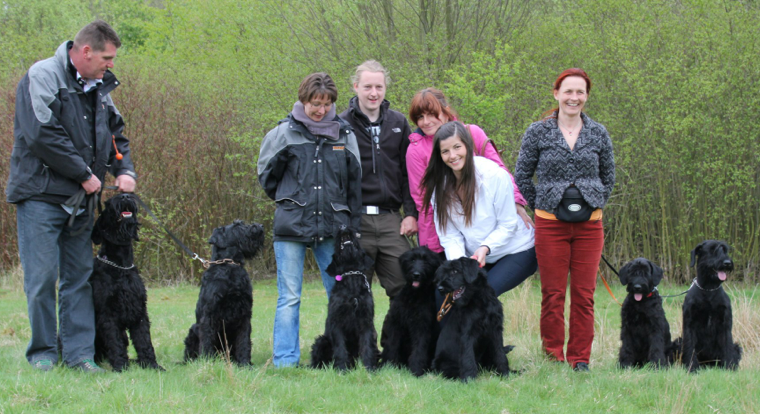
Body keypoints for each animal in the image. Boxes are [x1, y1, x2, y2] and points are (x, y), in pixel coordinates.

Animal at [91, 194, 164, 372]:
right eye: (108, 203)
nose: (125, 195)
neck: (121, 264)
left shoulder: (139, 309)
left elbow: (144, 340)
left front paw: (151, 364)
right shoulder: (108, 313)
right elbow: (115, 341)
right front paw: (121, 366)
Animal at [183, 220, 264, 366]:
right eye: (238, 226)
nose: (260, 226)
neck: (229, 266)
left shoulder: (245, 314)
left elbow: (244, 341)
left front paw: (245, 363)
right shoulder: (210, 313)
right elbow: (207, 339)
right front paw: (207, 361)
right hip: (193, 329)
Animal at [310, 226, 378, 372]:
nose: (342, 226)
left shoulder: (366, 321)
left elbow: (367, 346)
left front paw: (369, 368)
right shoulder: (337, 322)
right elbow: (340, 348)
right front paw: (342, 369)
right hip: (321, 341)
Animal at [380, 247, 446, 376]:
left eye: (426, 261)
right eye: (413, 259)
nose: (416, 275)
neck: (413, 296)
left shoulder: (421, 326)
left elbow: (419, 348)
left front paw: (416, 369)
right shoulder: (396, 324)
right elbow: (392, 345)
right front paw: (388, 365)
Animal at [672, 239, 744, 372]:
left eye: (725, 250)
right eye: (712, 250)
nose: (727, 263)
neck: (709, 289)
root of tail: (707, 364)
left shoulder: (725, 324)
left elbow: (727, 345)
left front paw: (729, 367)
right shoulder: (689, 324)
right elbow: (690, 346)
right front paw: (692, 368)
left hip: (735, 346)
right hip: (678, 342)